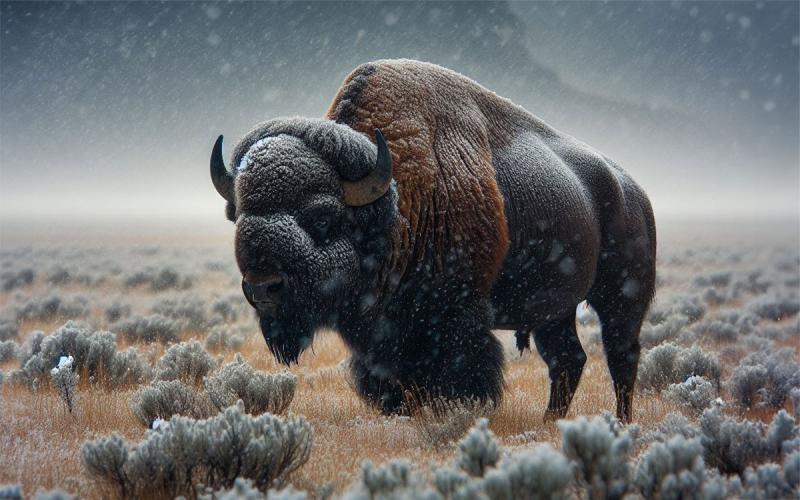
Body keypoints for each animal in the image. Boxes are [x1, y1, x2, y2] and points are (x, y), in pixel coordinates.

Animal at [210, 59, 656, 422]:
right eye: (237, 215)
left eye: (322, 215)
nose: (262, 288)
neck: (394, 201)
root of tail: (634, 191)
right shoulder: (381, 338)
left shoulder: (455, 319)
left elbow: (462, 374)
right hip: (555, 309)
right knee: (568, 359)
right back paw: (551, 421)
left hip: (621, 297)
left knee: (621, 356)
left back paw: (621, 421)